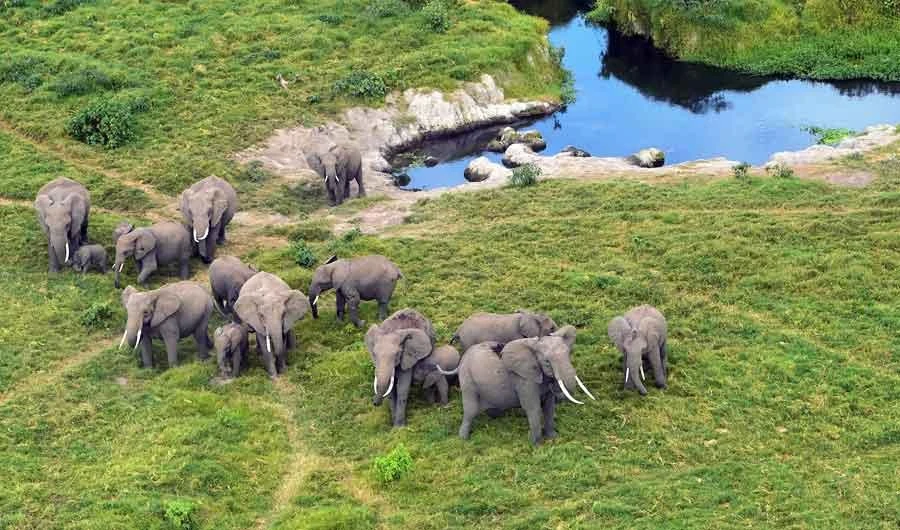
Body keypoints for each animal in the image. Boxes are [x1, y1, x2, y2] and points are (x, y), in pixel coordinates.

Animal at [457, 326, 595, 445]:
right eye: (547, 362)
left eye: (568, 354)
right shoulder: (523, 378)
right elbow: (533, 407)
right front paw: (537, 445)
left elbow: (549, 406)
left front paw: (553, 437)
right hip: (466, 377)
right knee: (470, 409)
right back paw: (463, 439)